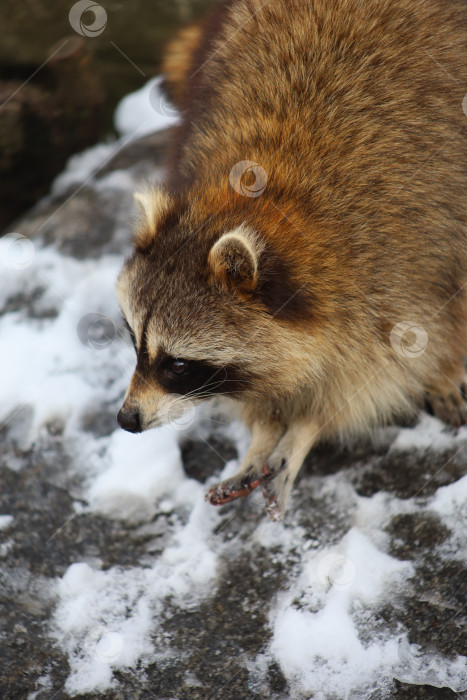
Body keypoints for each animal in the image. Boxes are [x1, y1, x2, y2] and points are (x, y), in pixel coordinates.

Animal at [116, 0, 467, 520]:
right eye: (132, 339)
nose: (127, 419)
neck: (265, 199)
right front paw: (266, 424)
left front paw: (307, 424)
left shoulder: (408, 258)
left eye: (177, 365)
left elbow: (383, 367)